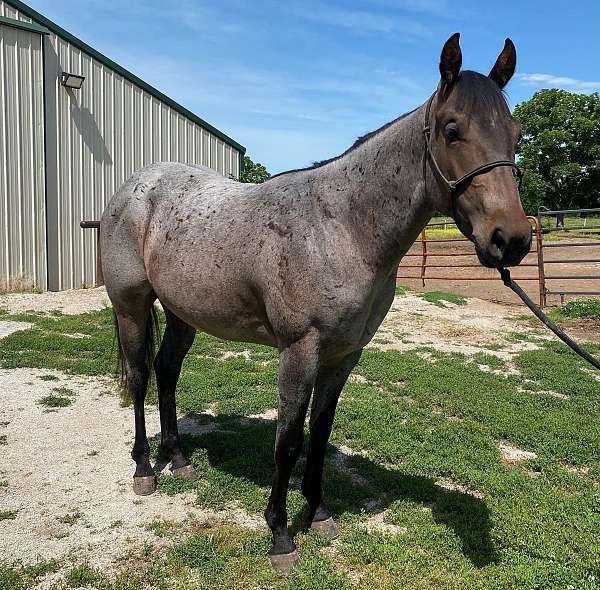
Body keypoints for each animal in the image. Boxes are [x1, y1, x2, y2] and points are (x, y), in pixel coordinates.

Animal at [101, 33, 532, 572]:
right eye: (453, 130)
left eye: (515, 133)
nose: (511, 240)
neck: (341, 227)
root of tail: (136, 188)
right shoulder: (299, 351)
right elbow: (288, 441)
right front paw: (280, 534)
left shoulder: (344, 355)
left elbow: (321, 433)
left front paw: (320, 512)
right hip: (131, 305)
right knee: (140, 376)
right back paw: (145, 468)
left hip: (184, 314)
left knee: (167, 372)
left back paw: (178, 460)